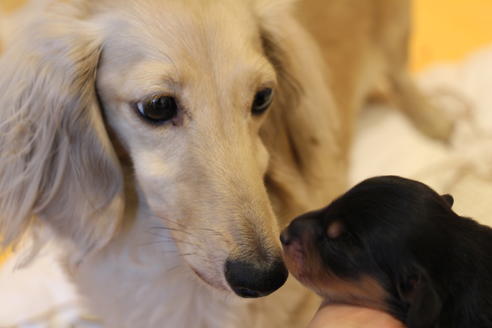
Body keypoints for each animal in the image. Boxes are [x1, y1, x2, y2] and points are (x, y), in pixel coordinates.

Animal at [0, 0, 454, 328]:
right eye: (157, 106)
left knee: (399, 77)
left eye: (263, 97)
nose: (265, 278)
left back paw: (436, 120)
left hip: (396, 31)